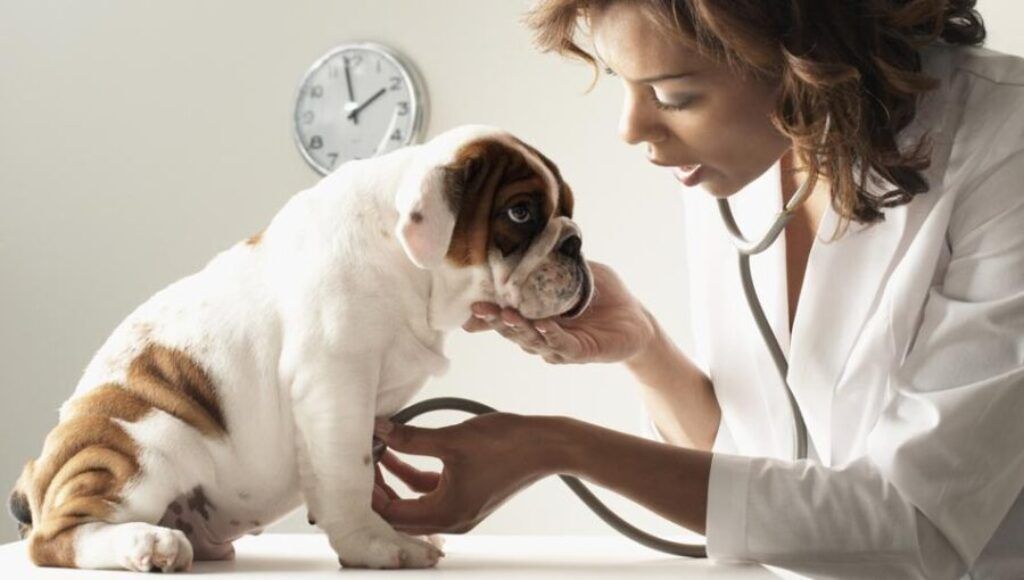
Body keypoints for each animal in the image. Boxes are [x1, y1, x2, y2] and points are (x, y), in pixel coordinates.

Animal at [8, 125, 593, 573]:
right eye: (521, 214)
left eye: (566, 209)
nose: (576, 242)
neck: (402, 261)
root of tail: (37, 471)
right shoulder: (337, 384)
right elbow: (350, 474)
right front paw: (376, 545)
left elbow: (356, 469)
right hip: (148, 442)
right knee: (54, 537)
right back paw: (148, 544)